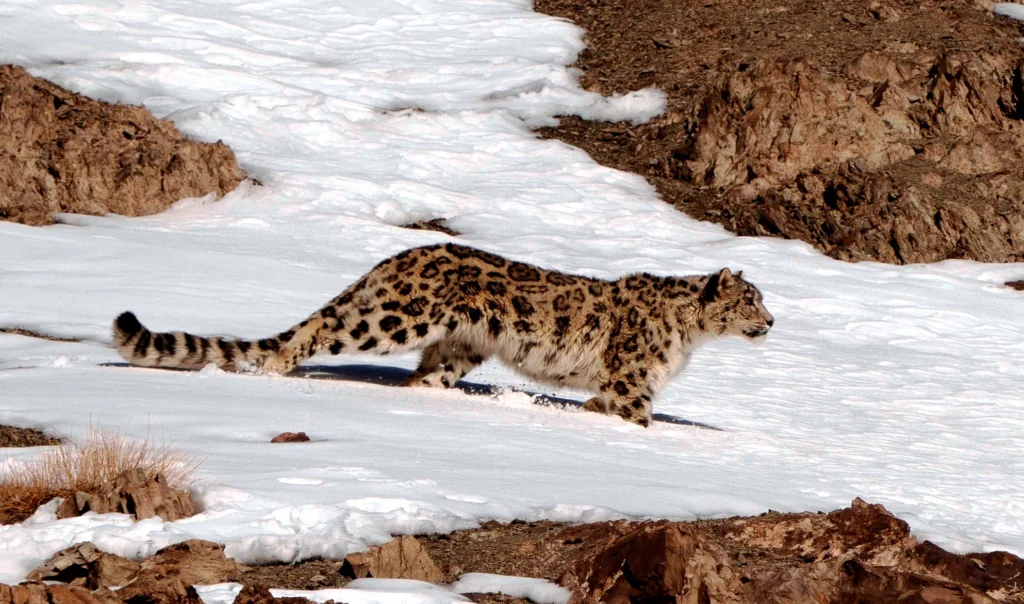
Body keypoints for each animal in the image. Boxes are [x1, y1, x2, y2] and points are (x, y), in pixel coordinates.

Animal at [112, 243, 774, 426]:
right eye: (750, 298)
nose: (771, 322)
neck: (688, 339)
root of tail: (398, 256)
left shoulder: (616, 386)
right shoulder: (634, 381)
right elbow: (639, 418)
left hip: (460, 345)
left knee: (423, 378)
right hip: (395, 318)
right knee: (322, 326)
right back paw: (278, 369)